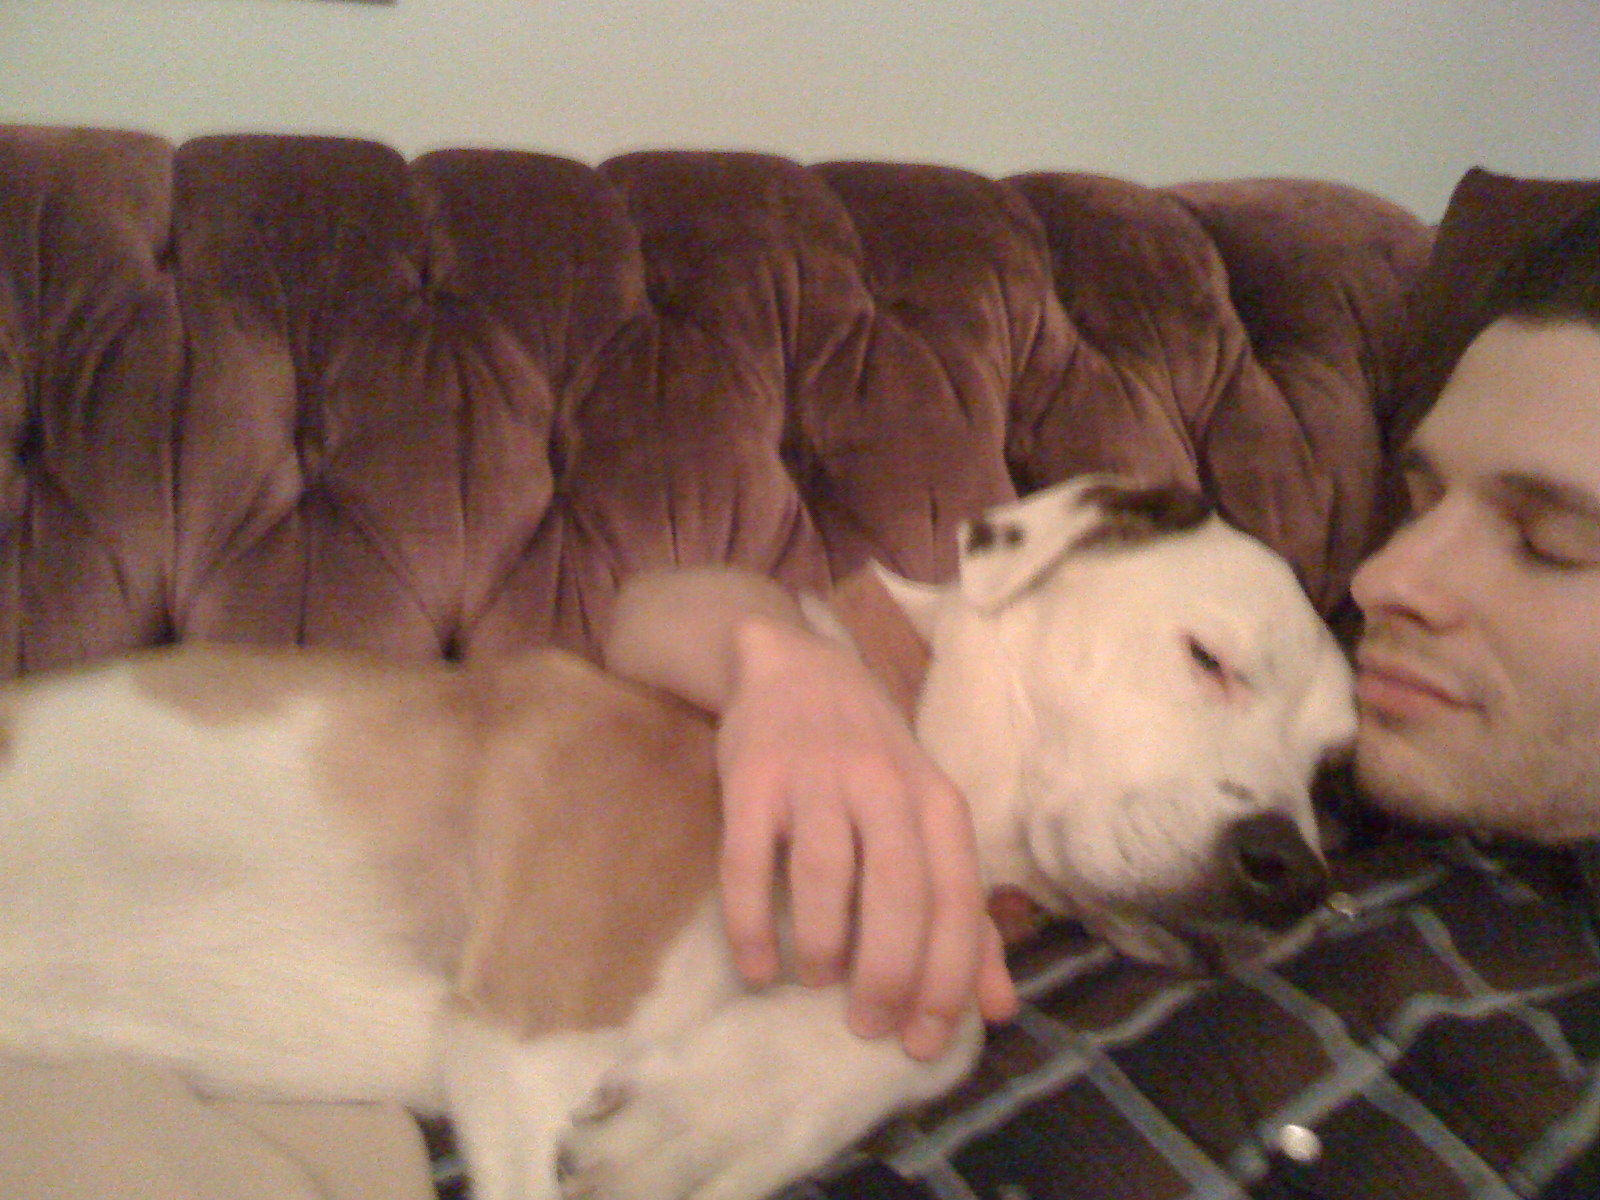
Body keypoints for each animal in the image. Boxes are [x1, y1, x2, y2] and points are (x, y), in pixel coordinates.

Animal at [0, 480, 1350, 1200]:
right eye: (1209, 657)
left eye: (1332, 769)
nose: (1293, 872)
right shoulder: (518, 1046)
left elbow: (938, 1029)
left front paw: (715, 1118)